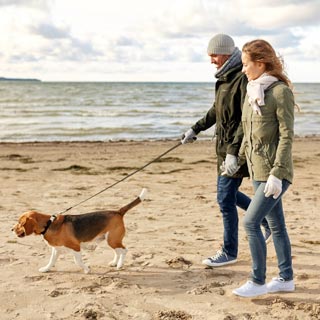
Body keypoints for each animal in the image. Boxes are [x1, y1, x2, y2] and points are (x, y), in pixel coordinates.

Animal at [12, 189, 148, 274]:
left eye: (20, 223)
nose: (11, 229)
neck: (48, 224)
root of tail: (118, 212)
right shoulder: (56, 249)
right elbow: (51, 261)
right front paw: (46, 269)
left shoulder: (75, 247)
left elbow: (77, 261)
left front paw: (87, 269)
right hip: (110, 240)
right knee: (118, 252)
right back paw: (115, 263)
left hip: (112, 240)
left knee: (124, 250)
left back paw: (119, 265)